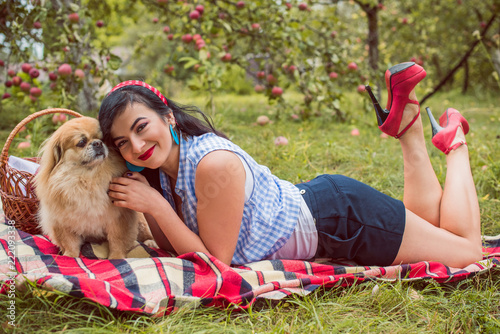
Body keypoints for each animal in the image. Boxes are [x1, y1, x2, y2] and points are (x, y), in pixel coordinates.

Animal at [33, 116, 156, 260]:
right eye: (81, 142)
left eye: (103, 139)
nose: (98, 143)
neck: (88, 178)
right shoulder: (62, 221)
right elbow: (69, 243)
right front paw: (69, 256)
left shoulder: (119, 218)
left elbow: (117, 241)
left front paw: (116, 257)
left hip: (142, 223)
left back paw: (150, 242)